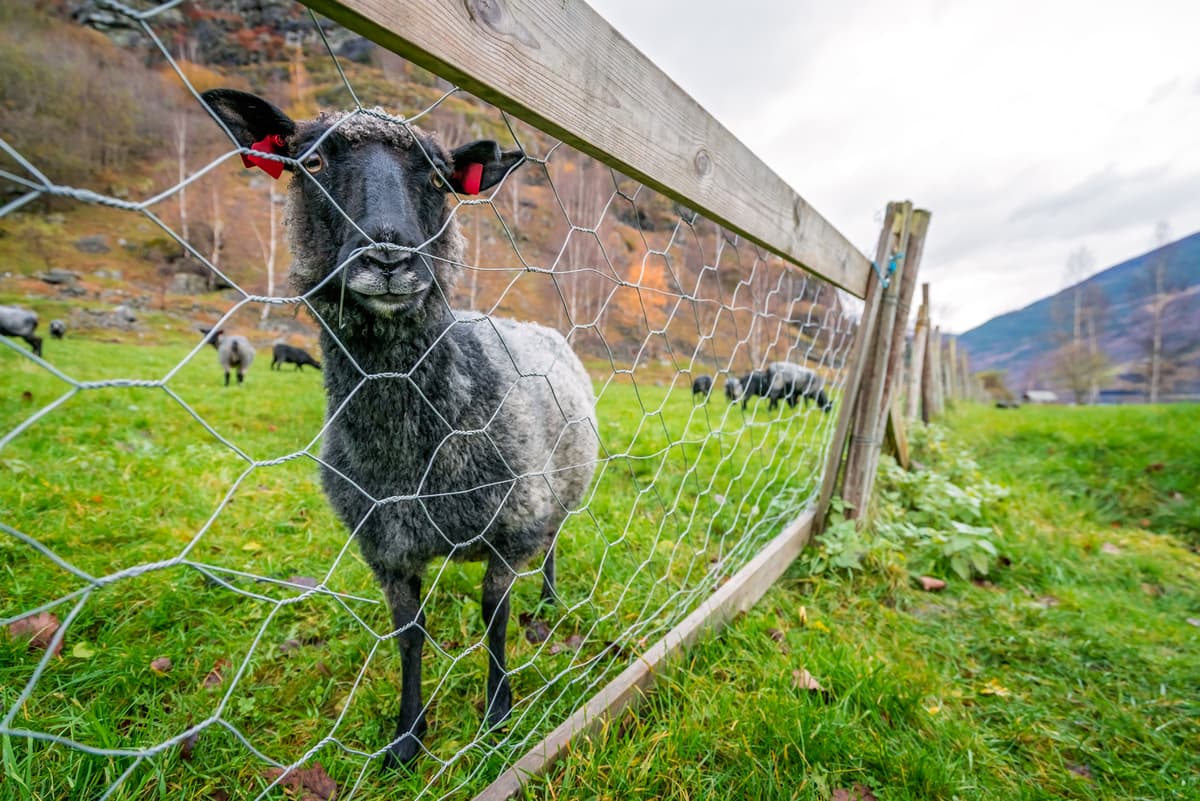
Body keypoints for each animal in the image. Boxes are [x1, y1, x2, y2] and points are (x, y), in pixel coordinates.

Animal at [203, 88, 599, 765]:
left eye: (440, 178)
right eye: (311, 163)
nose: (389, 257)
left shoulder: (510, 526)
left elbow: (495, 616)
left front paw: (498, 713)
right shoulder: (386, 549)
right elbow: (409, 635)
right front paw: (407, 736)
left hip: (558, 494)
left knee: (550, 545)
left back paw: (549, 597)